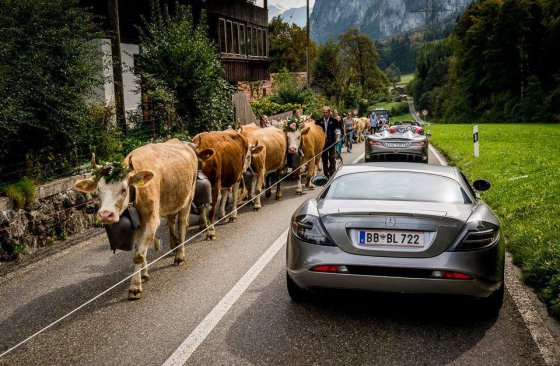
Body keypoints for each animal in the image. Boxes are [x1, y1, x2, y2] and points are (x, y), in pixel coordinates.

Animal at [74, 139, 212, 298]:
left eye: (124, 189)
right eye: (98, 190)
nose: (105, 214)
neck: (136, 191)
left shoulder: (151, 221)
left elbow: (139, 255)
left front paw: (135, 286)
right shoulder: (138, 224)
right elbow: (138, 249)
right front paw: (144, 274)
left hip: (188, 197)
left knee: (183, 225)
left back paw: (180, 255)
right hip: (172, 200)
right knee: (172, 220)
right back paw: (174, 246)